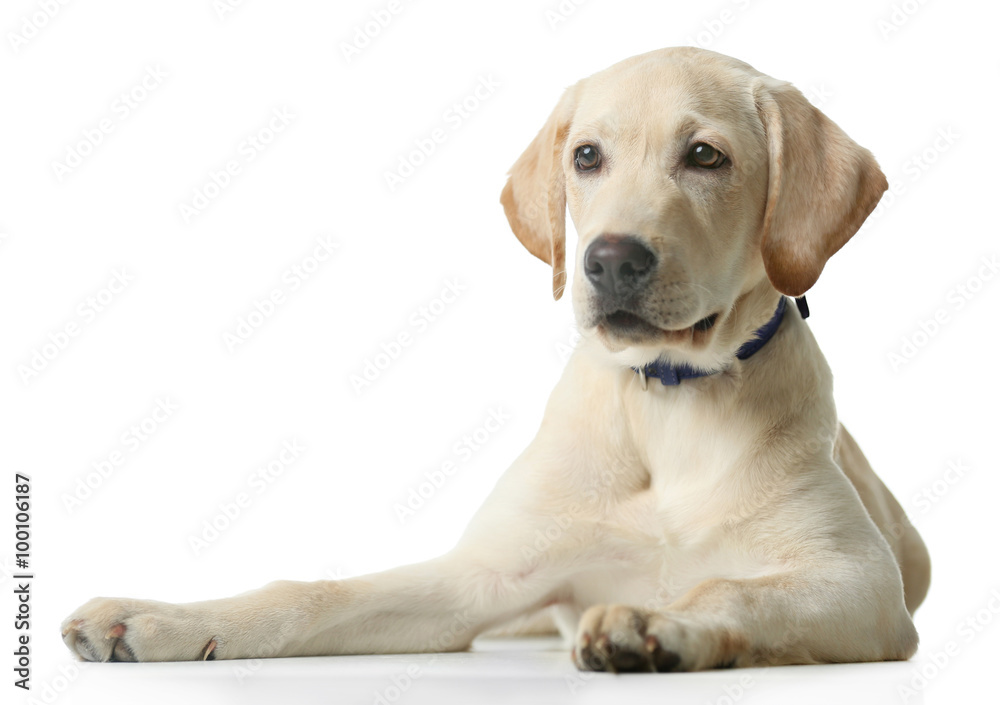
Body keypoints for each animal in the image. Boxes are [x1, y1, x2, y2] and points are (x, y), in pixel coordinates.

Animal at [60, 46, 928, 672]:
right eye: (587, 156)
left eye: (707, 156)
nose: (611, 260)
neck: (665, 403)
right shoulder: (480, 577)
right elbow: (315, 592)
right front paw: (161, 617)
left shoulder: (860, 581)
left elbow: (733, 587)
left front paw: (656, 620)